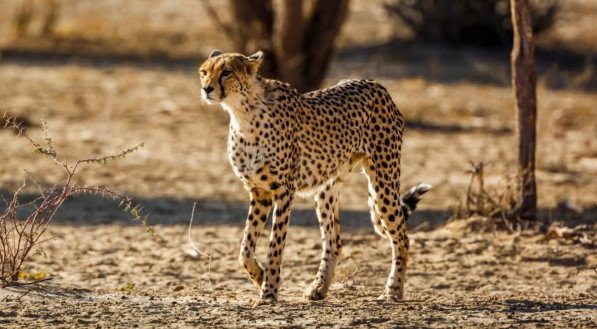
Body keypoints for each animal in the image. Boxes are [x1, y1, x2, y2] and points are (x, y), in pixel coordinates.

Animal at [198, 48, 430, 302]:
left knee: (401, 235)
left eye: (226, 72)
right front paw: (260, 278)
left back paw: (393, 290)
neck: (243, 113)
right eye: (204, 72)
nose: (207, 89)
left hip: (383, 181)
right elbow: (245, 249)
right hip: (326, 189)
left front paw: (269, 291)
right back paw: (318, 287)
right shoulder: (259, 191)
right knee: (334, 240)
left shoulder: (283, 191)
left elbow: (275, 245)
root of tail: (375, 83)